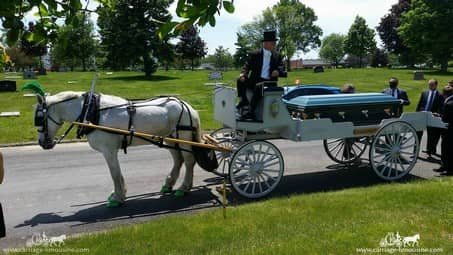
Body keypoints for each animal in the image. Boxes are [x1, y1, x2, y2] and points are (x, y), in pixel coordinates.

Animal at [36, 91, 202, 207]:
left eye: (39, 118)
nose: (42, 142)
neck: (92, 112)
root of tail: (188, 107)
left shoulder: (108, 150)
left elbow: (114, 173)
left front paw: (117, 198)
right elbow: (118, 173)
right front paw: (121, 193)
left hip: (183, 138)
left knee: (189, 161)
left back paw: (184, 187)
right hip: (170, 138)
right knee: (178, 160)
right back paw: (169, 184)